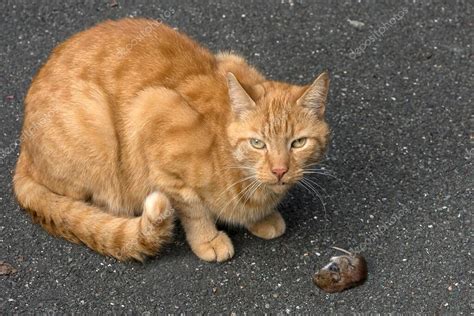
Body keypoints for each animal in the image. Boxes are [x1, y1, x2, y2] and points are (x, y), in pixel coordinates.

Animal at [12, 17, 330, 262]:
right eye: (258, 144)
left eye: (298, 143)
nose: (279, 170)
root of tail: (23, 151)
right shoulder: (155, 114)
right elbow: (193, 209)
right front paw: (208, 239)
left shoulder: (231, 58)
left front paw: (261, 218)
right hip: (95, 121)